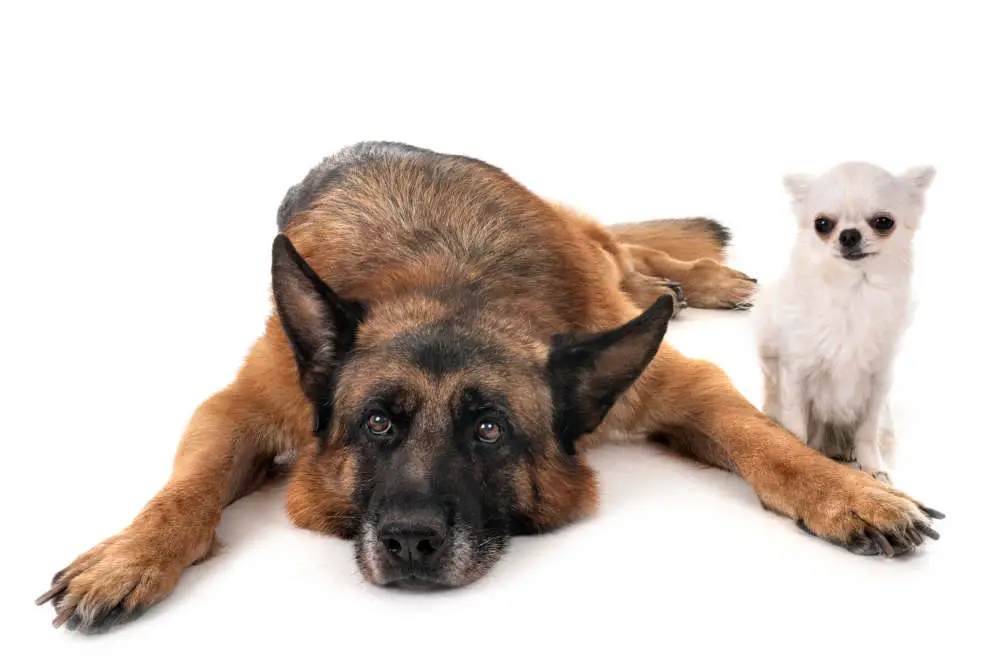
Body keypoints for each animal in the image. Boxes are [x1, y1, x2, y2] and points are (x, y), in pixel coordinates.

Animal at [756, 162, 936, 486]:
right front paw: (801, 460)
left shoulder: (878, 381)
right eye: (822, 224)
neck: (853, 290)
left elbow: (867, 430)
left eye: (883, 222)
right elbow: (796, 426)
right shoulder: (797, 375)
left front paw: (873, 469)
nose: (849, 235)